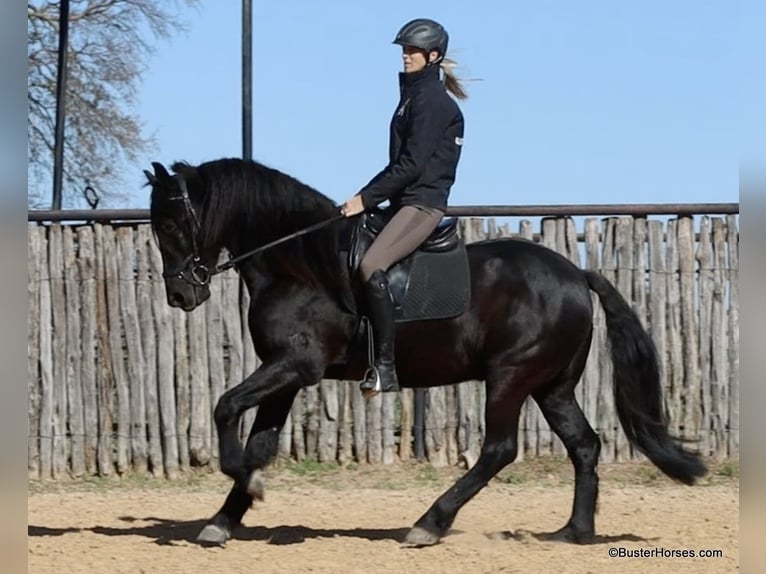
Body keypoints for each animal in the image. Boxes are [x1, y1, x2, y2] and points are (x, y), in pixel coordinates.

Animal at [144, 157, 706, 547]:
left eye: (171, 225)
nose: (180, 296)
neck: (299, 263)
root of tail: (576, 273)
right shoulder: (287, 373)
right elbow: (259, 442)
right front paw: (225, 517)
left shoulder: (294, 366)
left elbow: (225, 407)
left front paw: (246, 486)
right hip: (552, 386)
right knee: (585, 445)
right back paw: (574, 532)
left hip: (511, 376)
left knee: (499, 449)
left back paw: (429, 524)